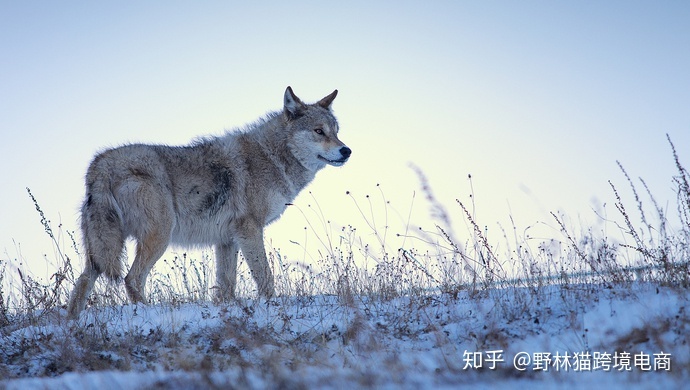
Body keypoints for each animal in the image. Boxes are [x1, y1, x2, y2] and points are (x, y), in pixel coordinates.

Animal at [67, 87, 350, 318]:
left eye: (336, 132)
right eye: (319, 131)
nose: (346, 150)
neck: (272, 156)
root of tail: (100, 165)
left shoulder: (227, 240)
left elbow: (226, 286)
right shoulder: (250, 230)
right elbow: (265, 276)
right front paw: (273, 306)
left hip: (101, 251)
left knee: (81, 283)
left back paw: (73, 323)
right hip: (159, 235)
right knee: (132, 279)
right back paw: (149, 314)